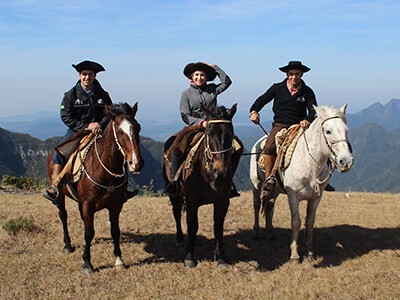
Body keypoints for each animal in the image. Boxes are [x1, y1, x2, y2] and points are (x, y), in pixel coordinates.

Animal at [47, 102, 144, 274]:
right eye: (120, 131)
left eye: (138, 127)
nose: (136, 163)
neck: (104, 169)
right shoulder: (88, 205)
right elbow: (88, 233)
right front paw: (87, 263)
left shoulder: (115, 205)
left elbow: (115, 231)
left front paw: (119, 260)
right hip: (60, 195)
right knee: (63, 215)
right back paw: (67, 245)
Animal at [161, 103, 242, 268]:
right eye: (209, 133)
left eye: (230, 134)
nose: (220, 171)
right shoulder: (192, 201)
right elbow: (192, 226)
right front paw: (189, 257)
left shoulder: (222, 202)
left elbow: (218, 227)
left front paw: (221, 257)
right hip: (174, 194)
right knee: (177, 214)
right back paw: (180, 239)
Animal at [250, 103, 354, 262]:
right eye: (328, 131)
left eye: (346, 131)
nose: (346, 161)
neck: (308, 162)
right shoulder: (293, 196)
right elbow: (296, 222)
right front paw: (294, 255)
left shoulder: (317, 197)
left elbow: (309, 222)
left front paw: (310, 253)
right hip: (256, 184)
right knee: (256, 205)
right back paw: (256, 232)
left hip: (275, 190)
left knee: (270, 206)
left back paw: (270, 234)